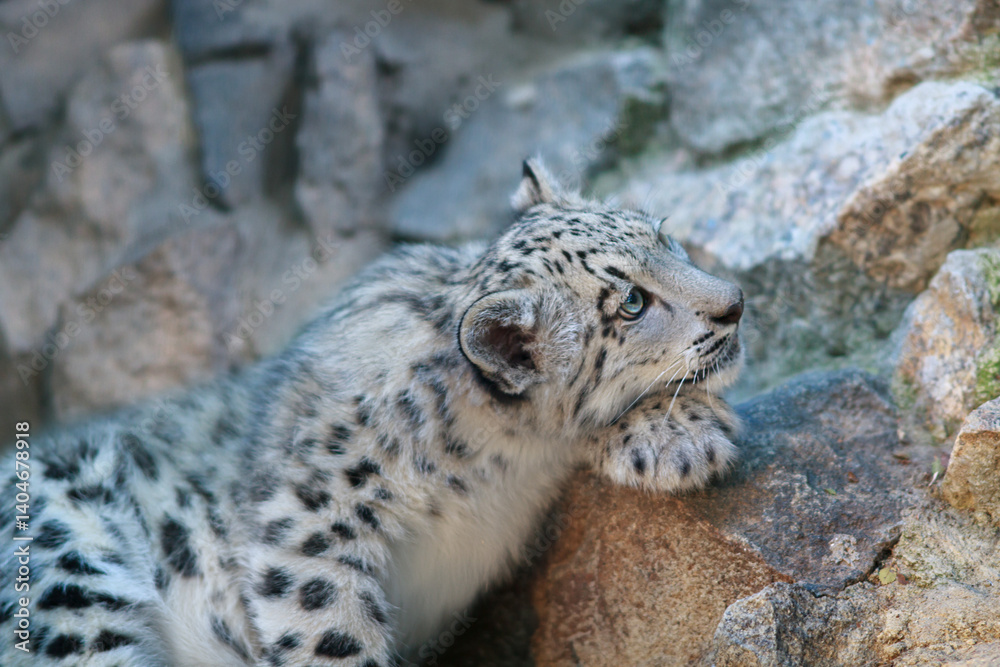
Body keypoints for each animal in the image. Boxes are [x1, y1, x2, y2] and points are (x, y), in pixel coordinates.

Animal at [0, 159, 745, 666]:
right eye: (631, 303)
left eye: (663, 236)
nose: (734, 302)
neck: (501, 463)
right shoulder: (308, 519)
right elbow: (326, 628)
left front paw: (683, 434)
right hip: (68, 574)